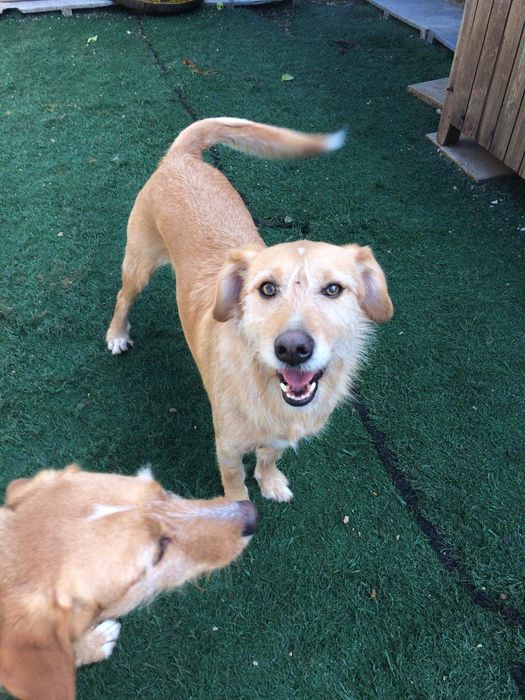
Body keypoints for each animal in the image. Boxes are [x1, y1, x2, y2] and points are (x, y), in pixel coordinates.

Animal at [106, 117, 393, 503]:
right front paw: (239, 509)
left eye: (333, 289)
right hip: (140, 261)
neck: (267, 388)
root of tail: (181, 156)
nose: (292, 349)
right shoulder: (226, 444)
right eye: (267, 288)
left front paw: (270, 481)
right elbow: (235, 482)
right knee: (123, 297)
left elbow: (269, 455)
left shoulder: (278, 435)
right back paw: (117, 335)